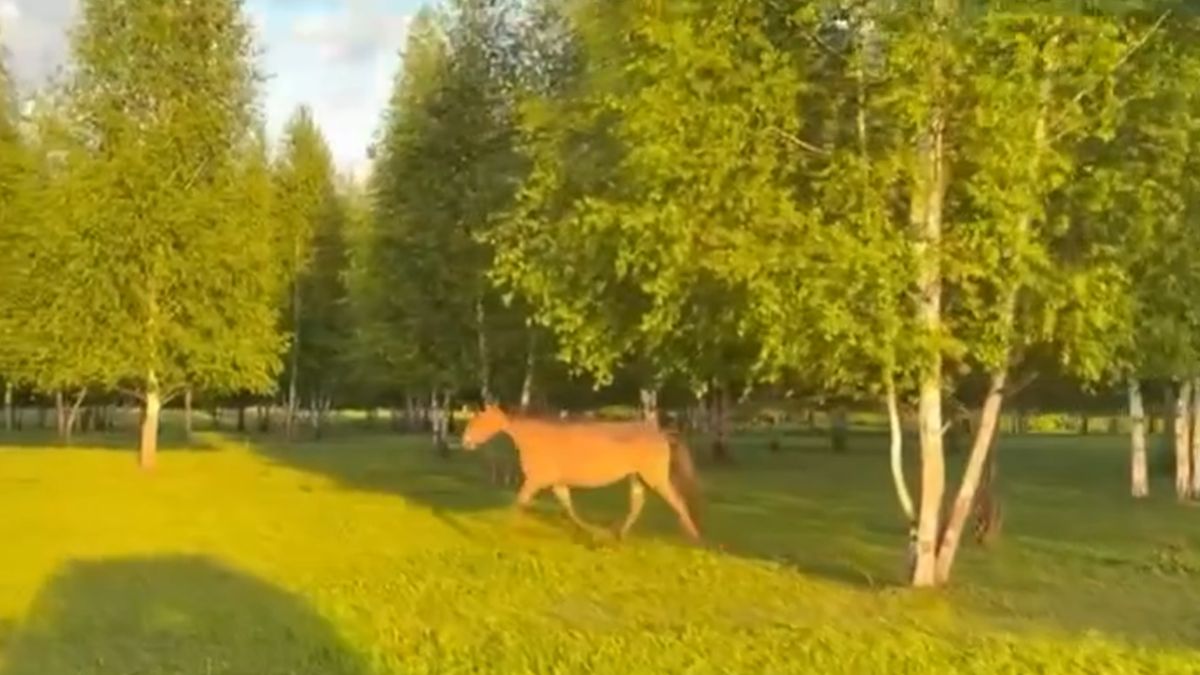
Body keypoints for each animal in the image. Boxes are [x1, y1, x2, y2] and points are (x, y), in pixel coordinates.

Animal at [461, 404, 702, 542]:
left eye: (478, 420)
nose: (465, 441)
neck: (533, 438)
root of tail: (660, 432)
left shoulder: (535, 481)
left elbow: (520, 502)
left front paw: (505, 531)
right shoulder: (557, 483)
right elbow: (570, 509)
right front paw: (594, 532)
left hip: (655, 478)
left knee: (677, 502)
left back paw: (694, 538)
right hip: (637, 477)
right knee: (637, 504)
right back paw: (619, 535)